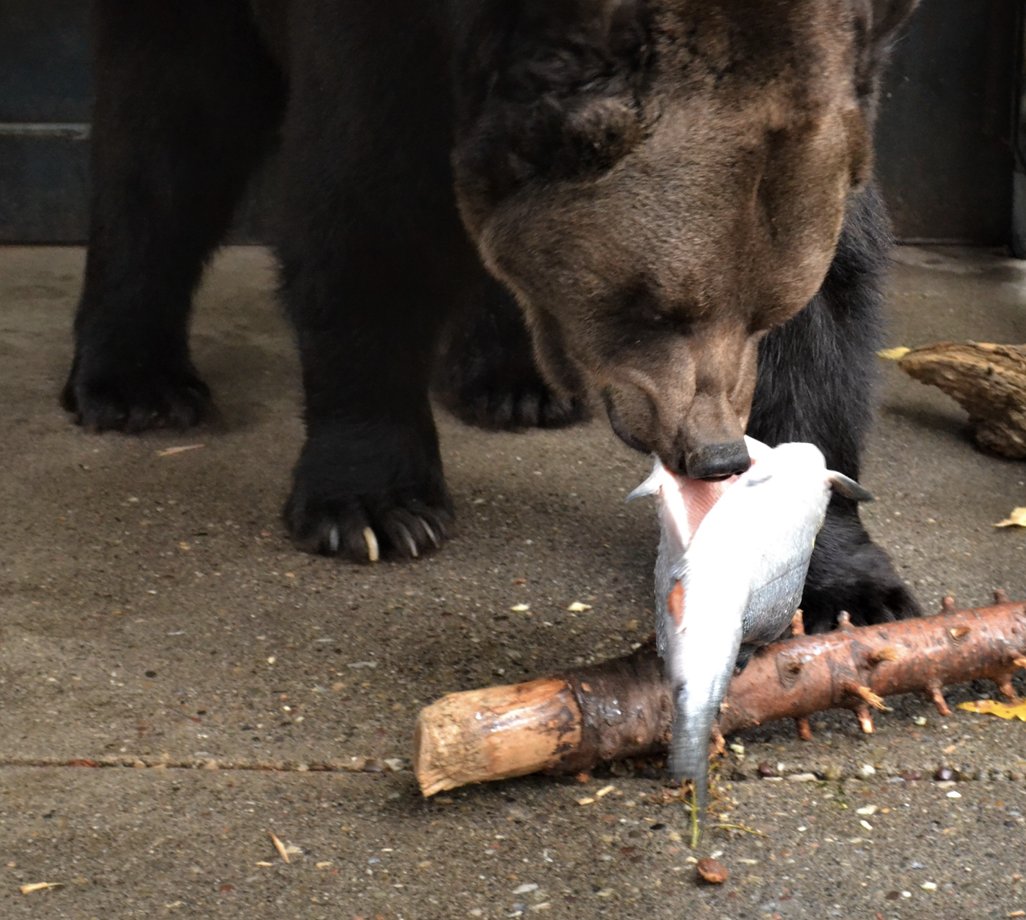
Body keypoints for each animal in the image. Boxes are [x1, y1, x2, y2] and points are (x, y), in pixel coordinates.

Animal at [61, 0, 920, 630]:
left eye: (766, 309)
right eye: (649, 307)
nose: (711, 453)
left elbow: (832, 306)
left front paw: (847, 580)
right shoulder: (377, 39)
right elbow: (365, 210)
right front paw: (377, 507)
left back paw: (514, 383)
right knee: (169, 129)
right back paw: (135, 383)